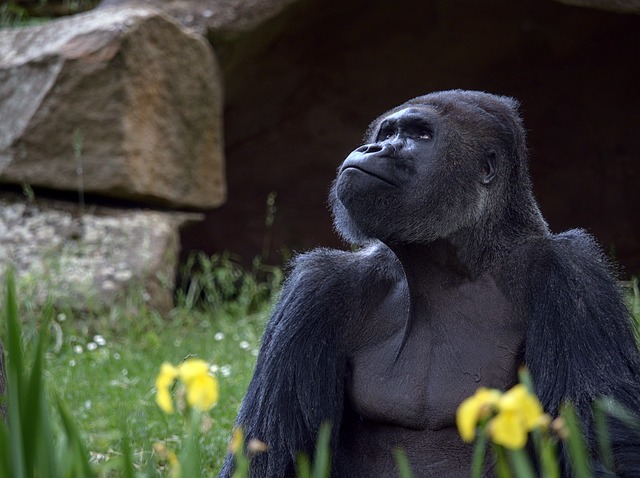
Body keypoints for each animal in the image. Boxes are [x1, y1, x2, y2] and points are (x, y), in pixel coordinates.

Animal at [220, 90, 640, 478]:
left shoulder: (573, 273)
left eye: (421, 135)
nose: (372, 148)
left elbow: (604, 448)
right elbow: (272, 455)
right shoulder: (317, 288)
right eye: (387, 132)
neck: (442, 268)